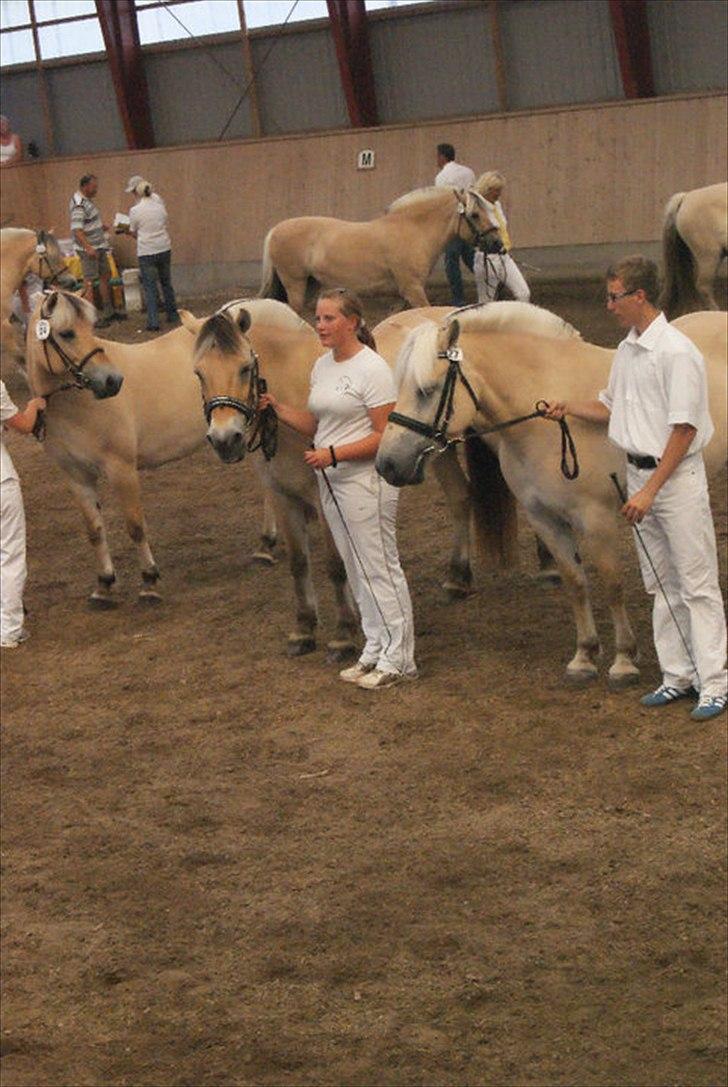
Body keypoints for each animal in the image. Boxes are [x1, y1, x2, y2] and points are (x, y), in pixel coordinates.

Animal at [259, 185, 504, 315]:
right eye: (475, 215)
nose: (497, 244)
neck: (414, 230)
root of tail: (274, 230)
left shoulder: (402, 295)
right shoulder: (413, 289)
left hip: (311, 285)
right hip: (295, 284)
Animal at [380, 306, 725, 682]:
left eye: (426, 390)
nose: (387, 464)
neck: (547, 424)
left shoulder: (597, 520)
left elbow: (612, 583)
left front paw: (623, 659)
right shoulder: (543, 518)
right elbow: (575, 582)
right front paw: (584, 655)